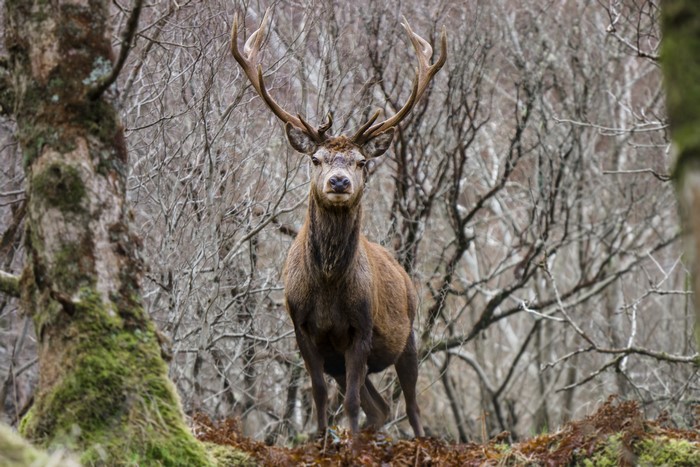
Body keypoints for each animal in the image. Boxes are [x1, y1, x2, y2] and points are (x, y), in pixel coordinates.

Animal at [230, 9, 446, 438]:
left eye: (362, 162)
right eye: (316, 159)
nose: (339, 182)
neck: (328, 287)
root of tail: (403, 271)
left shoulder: (361, 328)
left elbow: (348, 403)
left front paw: (348, 444)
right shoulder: (302, 328)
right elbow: (317, 394)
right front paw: (320, 440)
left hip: (409, 334)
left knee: (410, 405)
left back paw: (418, 441)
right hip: (344, 360)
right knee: (380, 407)